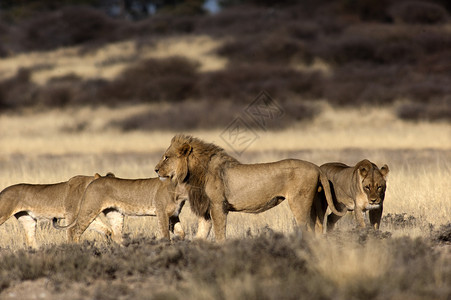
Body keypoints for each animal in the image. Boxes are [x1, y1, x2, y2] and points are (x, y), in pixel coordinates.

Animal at [53, 176, 187, 244]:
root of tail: (93, 181)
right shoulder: (161, 213)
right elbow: (166, 235)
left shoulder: (173, 215)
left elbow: (181, 233)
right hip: (89, 210)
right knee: (75, 231)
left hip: (115, 214)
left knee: (116, 235)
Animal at [155, 134, 346, 241]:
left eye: (166, 157)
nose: (155, 169)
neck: (194, 173)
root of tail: (317, 167)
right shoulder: (206, 210)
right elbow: (200, 235)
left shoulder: (218, 206)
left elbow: (220, 233)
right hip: (315, 202)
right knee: (319, 227)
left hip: (299, 202)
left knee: (307, 228)